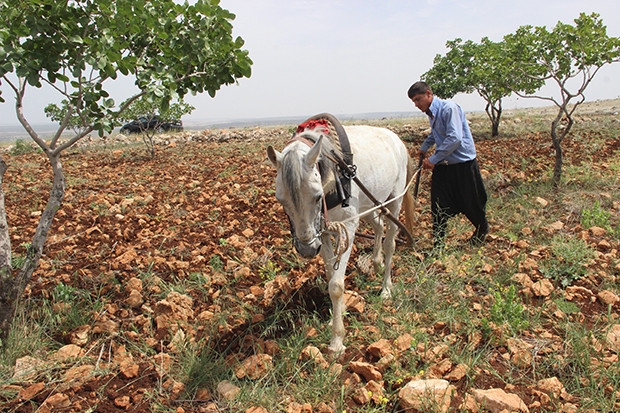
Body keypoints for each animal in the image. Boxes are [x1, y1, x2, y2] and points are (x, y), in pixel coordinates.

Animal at [266, 122, 416, 354]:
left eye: (317, 196)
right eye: (280, 200)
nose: (307, 249)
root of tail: (396, 139)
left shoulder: (347, 227)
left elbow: (336, 285)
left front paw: (337, 340)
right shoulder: (324, 232)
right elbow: (330, 276)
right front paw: (339, 312)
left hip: (394, 200)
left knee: (390, 241)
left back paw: (386, 287)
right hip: (370, 203)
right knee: (378, 226)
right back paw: (377, 263)